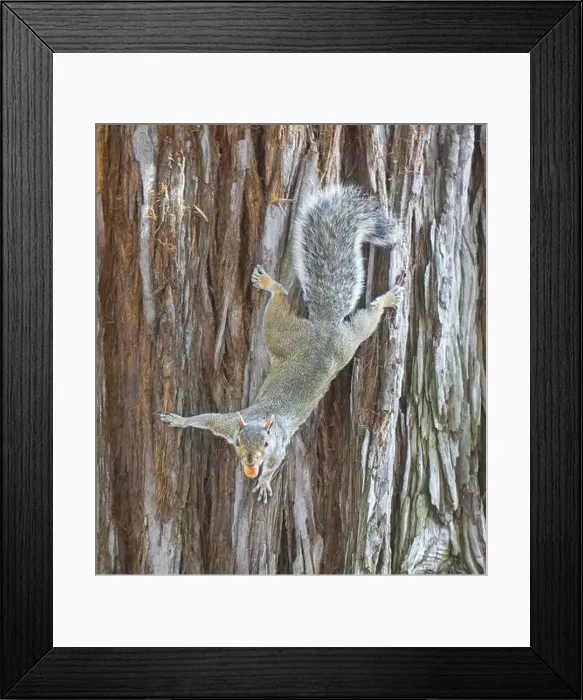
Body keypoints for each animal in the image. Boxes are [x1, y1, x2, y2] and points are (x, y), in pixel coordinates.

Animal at [160, 183, 403, 503]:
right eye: (238, 442)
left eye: (265, 443)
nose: (251, 462)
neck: (260, 423)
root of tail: (324, 330)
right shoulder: (228, 423)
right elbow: (205, 419)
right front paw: (179, 420)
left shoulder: (278, 448)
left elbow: (275, 464)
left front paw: (264, 482)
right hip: (306, 338)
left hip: (331, 340)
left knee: (352, 315)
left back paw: (383, 300)